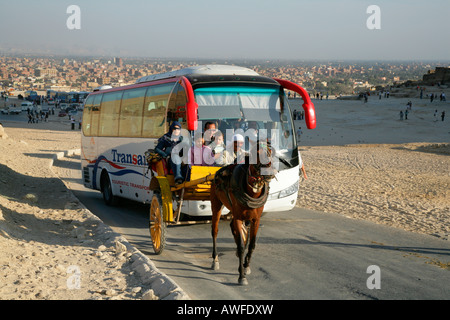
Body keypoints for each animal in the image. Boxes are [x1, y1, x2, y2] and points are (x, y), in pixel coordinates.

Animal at [210, 140, 276, 284]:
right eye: (256, 152)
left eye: (270, 151)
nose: (268, 171)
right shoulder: (239, 217)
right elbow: (241, 246)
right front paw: (241, 276)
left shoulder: (255, 219)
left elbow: (251, 244)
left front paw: (246, 266)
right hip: (216, 205)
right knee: (215, 232)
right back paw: (215, 260)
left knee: (233, 227)